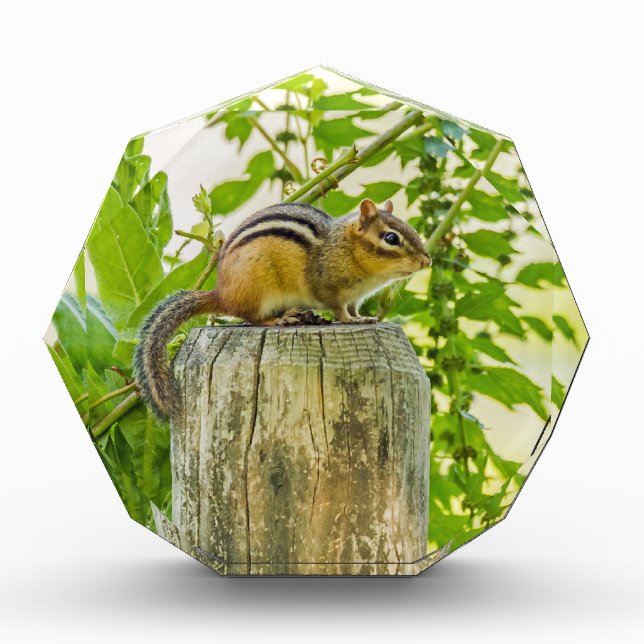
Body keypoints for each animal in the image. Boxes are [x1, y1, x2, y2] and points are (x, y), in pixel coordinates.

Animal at [134, 198, 431, 419]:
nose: (427, 261)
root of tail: (222, 294)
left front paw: (364, 318)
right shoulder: (329, 289)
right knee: (252, 318)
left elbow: (354, 308)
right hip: (258, 286)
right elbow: (339, 310)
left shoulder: (355, 297)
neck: (346, 248)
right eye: (391, 238)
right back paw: (280, 320)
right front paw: (351, 321)